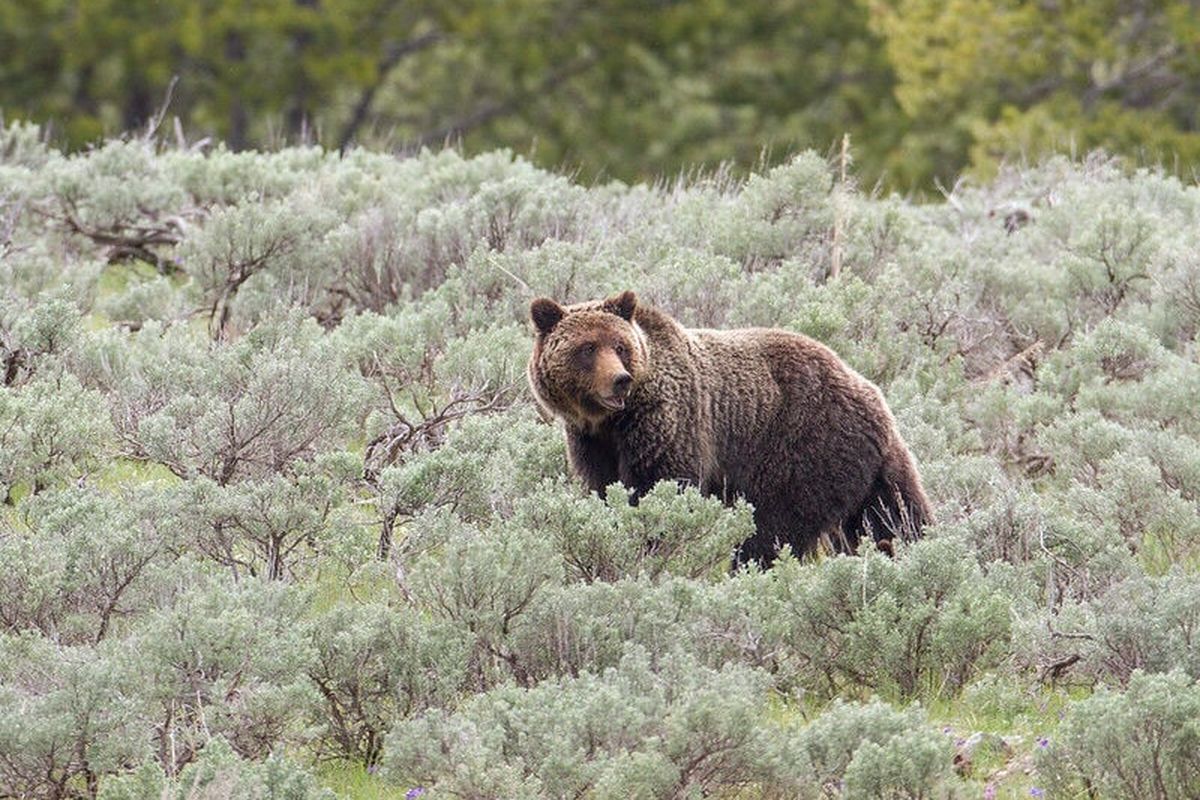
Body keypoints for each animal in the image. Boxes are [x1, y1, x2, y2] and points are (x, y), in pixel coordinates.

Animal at [528, 291, 936, 566]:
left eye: (620, 346)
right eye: (587, 348)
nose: (620, 380)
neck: (610, 421)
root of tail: (872, 393)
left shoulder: (668, 423)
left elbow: (659, 487)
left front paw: (653, 545)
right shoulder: (592, 442)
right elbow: (604, 489)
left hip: (802, 448)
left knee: (773, 527)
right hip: (867, 468)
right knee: (893, 515)